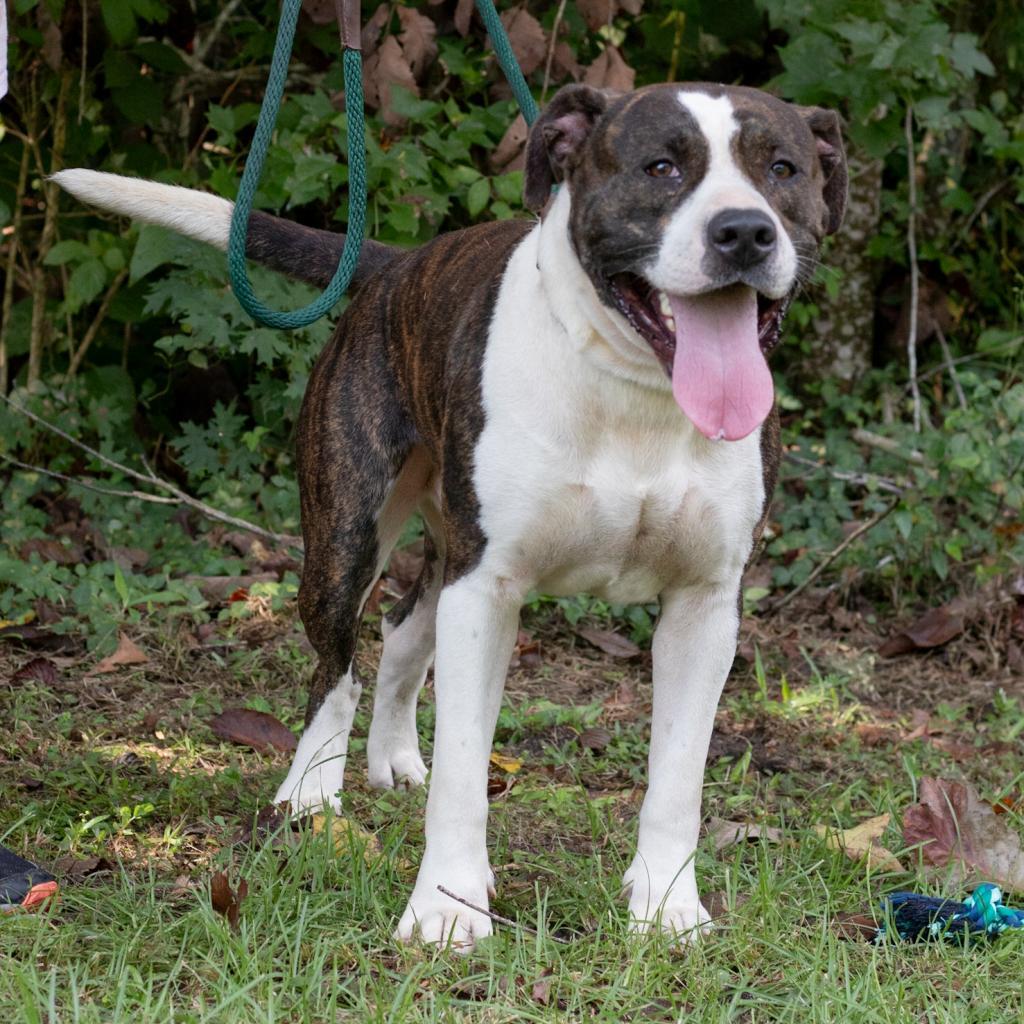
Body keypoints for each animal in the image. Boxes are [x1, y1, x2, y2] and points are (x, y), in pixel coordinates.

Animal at [59, 81, 851, 950]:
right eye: (661, 167)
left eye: (782, 169)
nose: (743, 231)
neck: (635, 394)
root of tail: (399, 262)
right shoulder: (487, 589)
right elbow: (467, 770)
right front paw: (447, 907)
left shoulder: (704, 606)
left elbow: (678, 779)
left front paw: (668, 908)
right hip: (345, 534)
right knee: (336, 667)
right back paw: (312, 790)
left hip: (446, 548)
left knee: (404, 629)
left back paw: (394, 757)